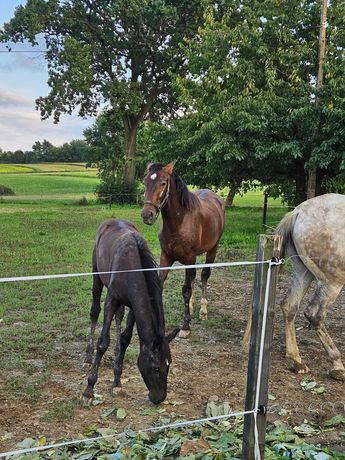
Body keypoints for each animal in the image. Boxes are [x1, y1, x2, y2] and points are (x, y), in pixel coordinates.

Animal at [82, 219, 179, 402]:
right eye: (156, 367)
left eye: (169, 364)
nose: (159, 398)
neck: (132, 268)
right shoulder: (111, 300)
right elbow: (103, 342)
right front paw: (89, 389)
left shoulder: (135, 305)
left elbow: (125, 339)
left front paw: (117, 382)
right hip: (96, 275)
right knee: (94, 311)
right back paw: (88, 357)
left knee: (119, 317)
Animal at [140, 162, 224, 338]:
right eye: (145, 182)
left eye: (163, 183)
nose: (147, 215)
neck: (179, 222)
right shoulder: (166, 257)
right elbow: (161, 285)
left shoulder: (190, 258)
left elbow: (186, 290)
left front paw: (185, 327)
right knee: (193, 279)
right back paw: (191, 307)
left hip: (212, 250)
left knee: (204, 276)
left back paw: (203, 310)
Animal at [276, 192, 344, 380]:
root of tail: (298, 212)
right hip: (332, 283)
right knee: (315, 314)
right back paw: (337, 365)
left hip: (303, 273)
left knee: (289, 305)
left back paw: (297, 361)